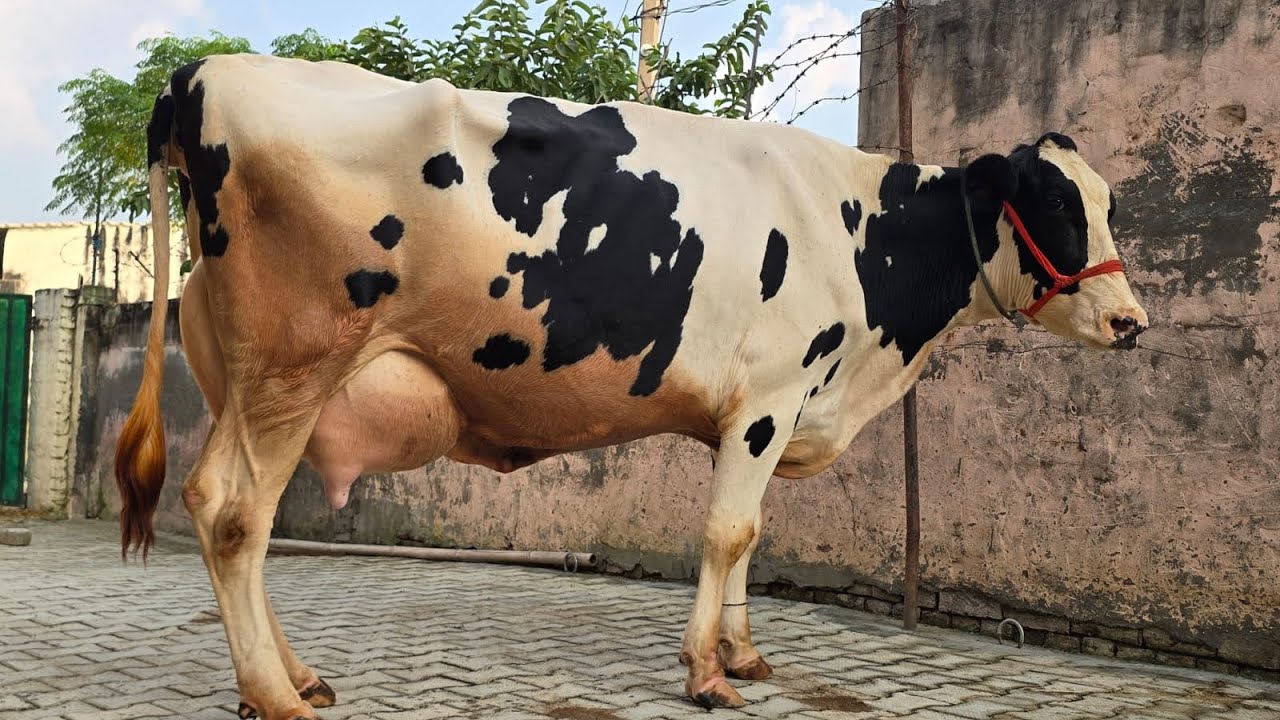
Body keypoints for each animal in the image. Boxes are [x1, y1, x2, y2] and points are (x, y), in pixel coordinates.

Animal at [115, 53, 1148, 719]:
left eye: (1107, 201)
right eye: (1055, 202)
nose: (1131, 321)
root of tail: (200, 72)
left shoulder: (774, 409)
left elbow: (753, 535)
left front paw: (744, 651)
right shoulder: (769, 397)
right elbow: (727, 532)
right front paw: (706, 674)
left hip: (244, 378)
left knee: (229, 517)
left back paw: (296, 679)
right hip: (293, 363)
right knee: (234, 516)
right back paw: (275, 696)